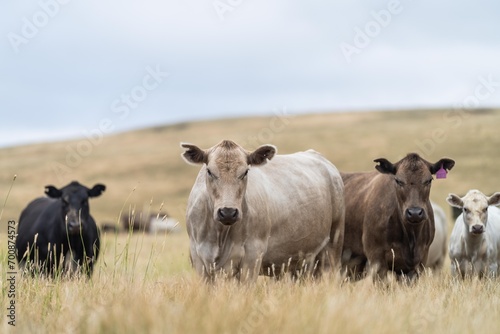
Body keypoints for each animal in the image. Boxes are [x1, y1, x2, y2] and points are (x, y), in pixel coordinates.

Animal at [182, 140, 346, 284]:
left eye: (245, 172)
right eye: (209, 171)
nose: (228, 212)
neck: (220, 234)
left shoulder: (252, 257)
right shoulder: (199, 259)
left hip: (334, 244)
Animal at [342, 154, 456, 282]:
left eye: (429, 180)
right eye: (398, 180)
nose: (415, 212)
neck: (410, 238)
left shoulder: (418, 262)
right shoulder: (376, 258)